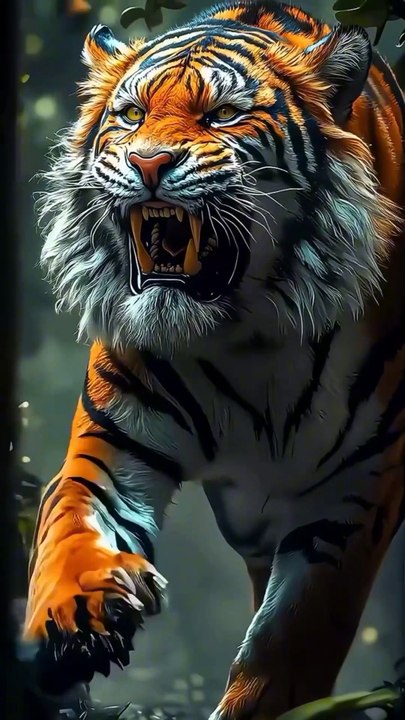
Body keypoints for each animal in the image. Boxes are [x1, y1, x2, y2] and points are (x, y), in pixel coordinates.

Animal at [24, 0, 405, 717]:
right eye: (130, 115)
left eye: (223, 115)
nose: (147, 162)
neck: (244, 338)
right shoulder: (110, 444)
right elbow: (71, 524)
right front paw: (80, 612)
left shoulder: (352, 496)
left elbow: (291, 639)